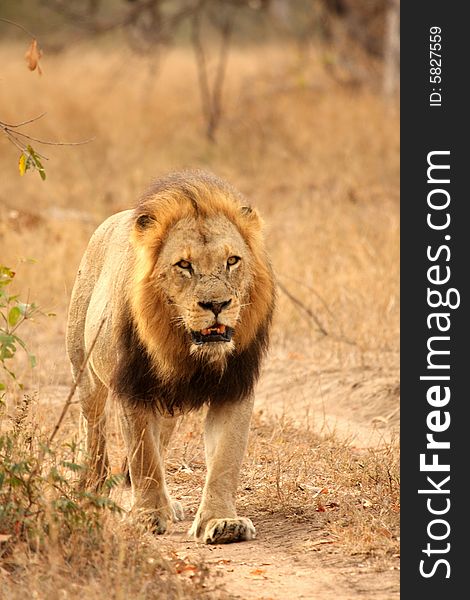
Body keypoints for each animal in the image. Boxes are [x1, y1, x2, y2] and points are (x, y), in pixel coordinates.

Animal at [66, 169, 276, 544]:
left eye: (232, 261)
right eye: (184, 265)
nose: (217, 304)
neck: (185, 350)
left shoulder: (234, 388)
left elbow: (225, 459)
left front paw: (222, 522)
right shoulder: (134, 388)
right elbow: (144, 457)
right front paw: (148, 517)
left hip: (167, 407)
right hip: (86, 374)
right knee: (94, 431)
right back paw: (90, 491)